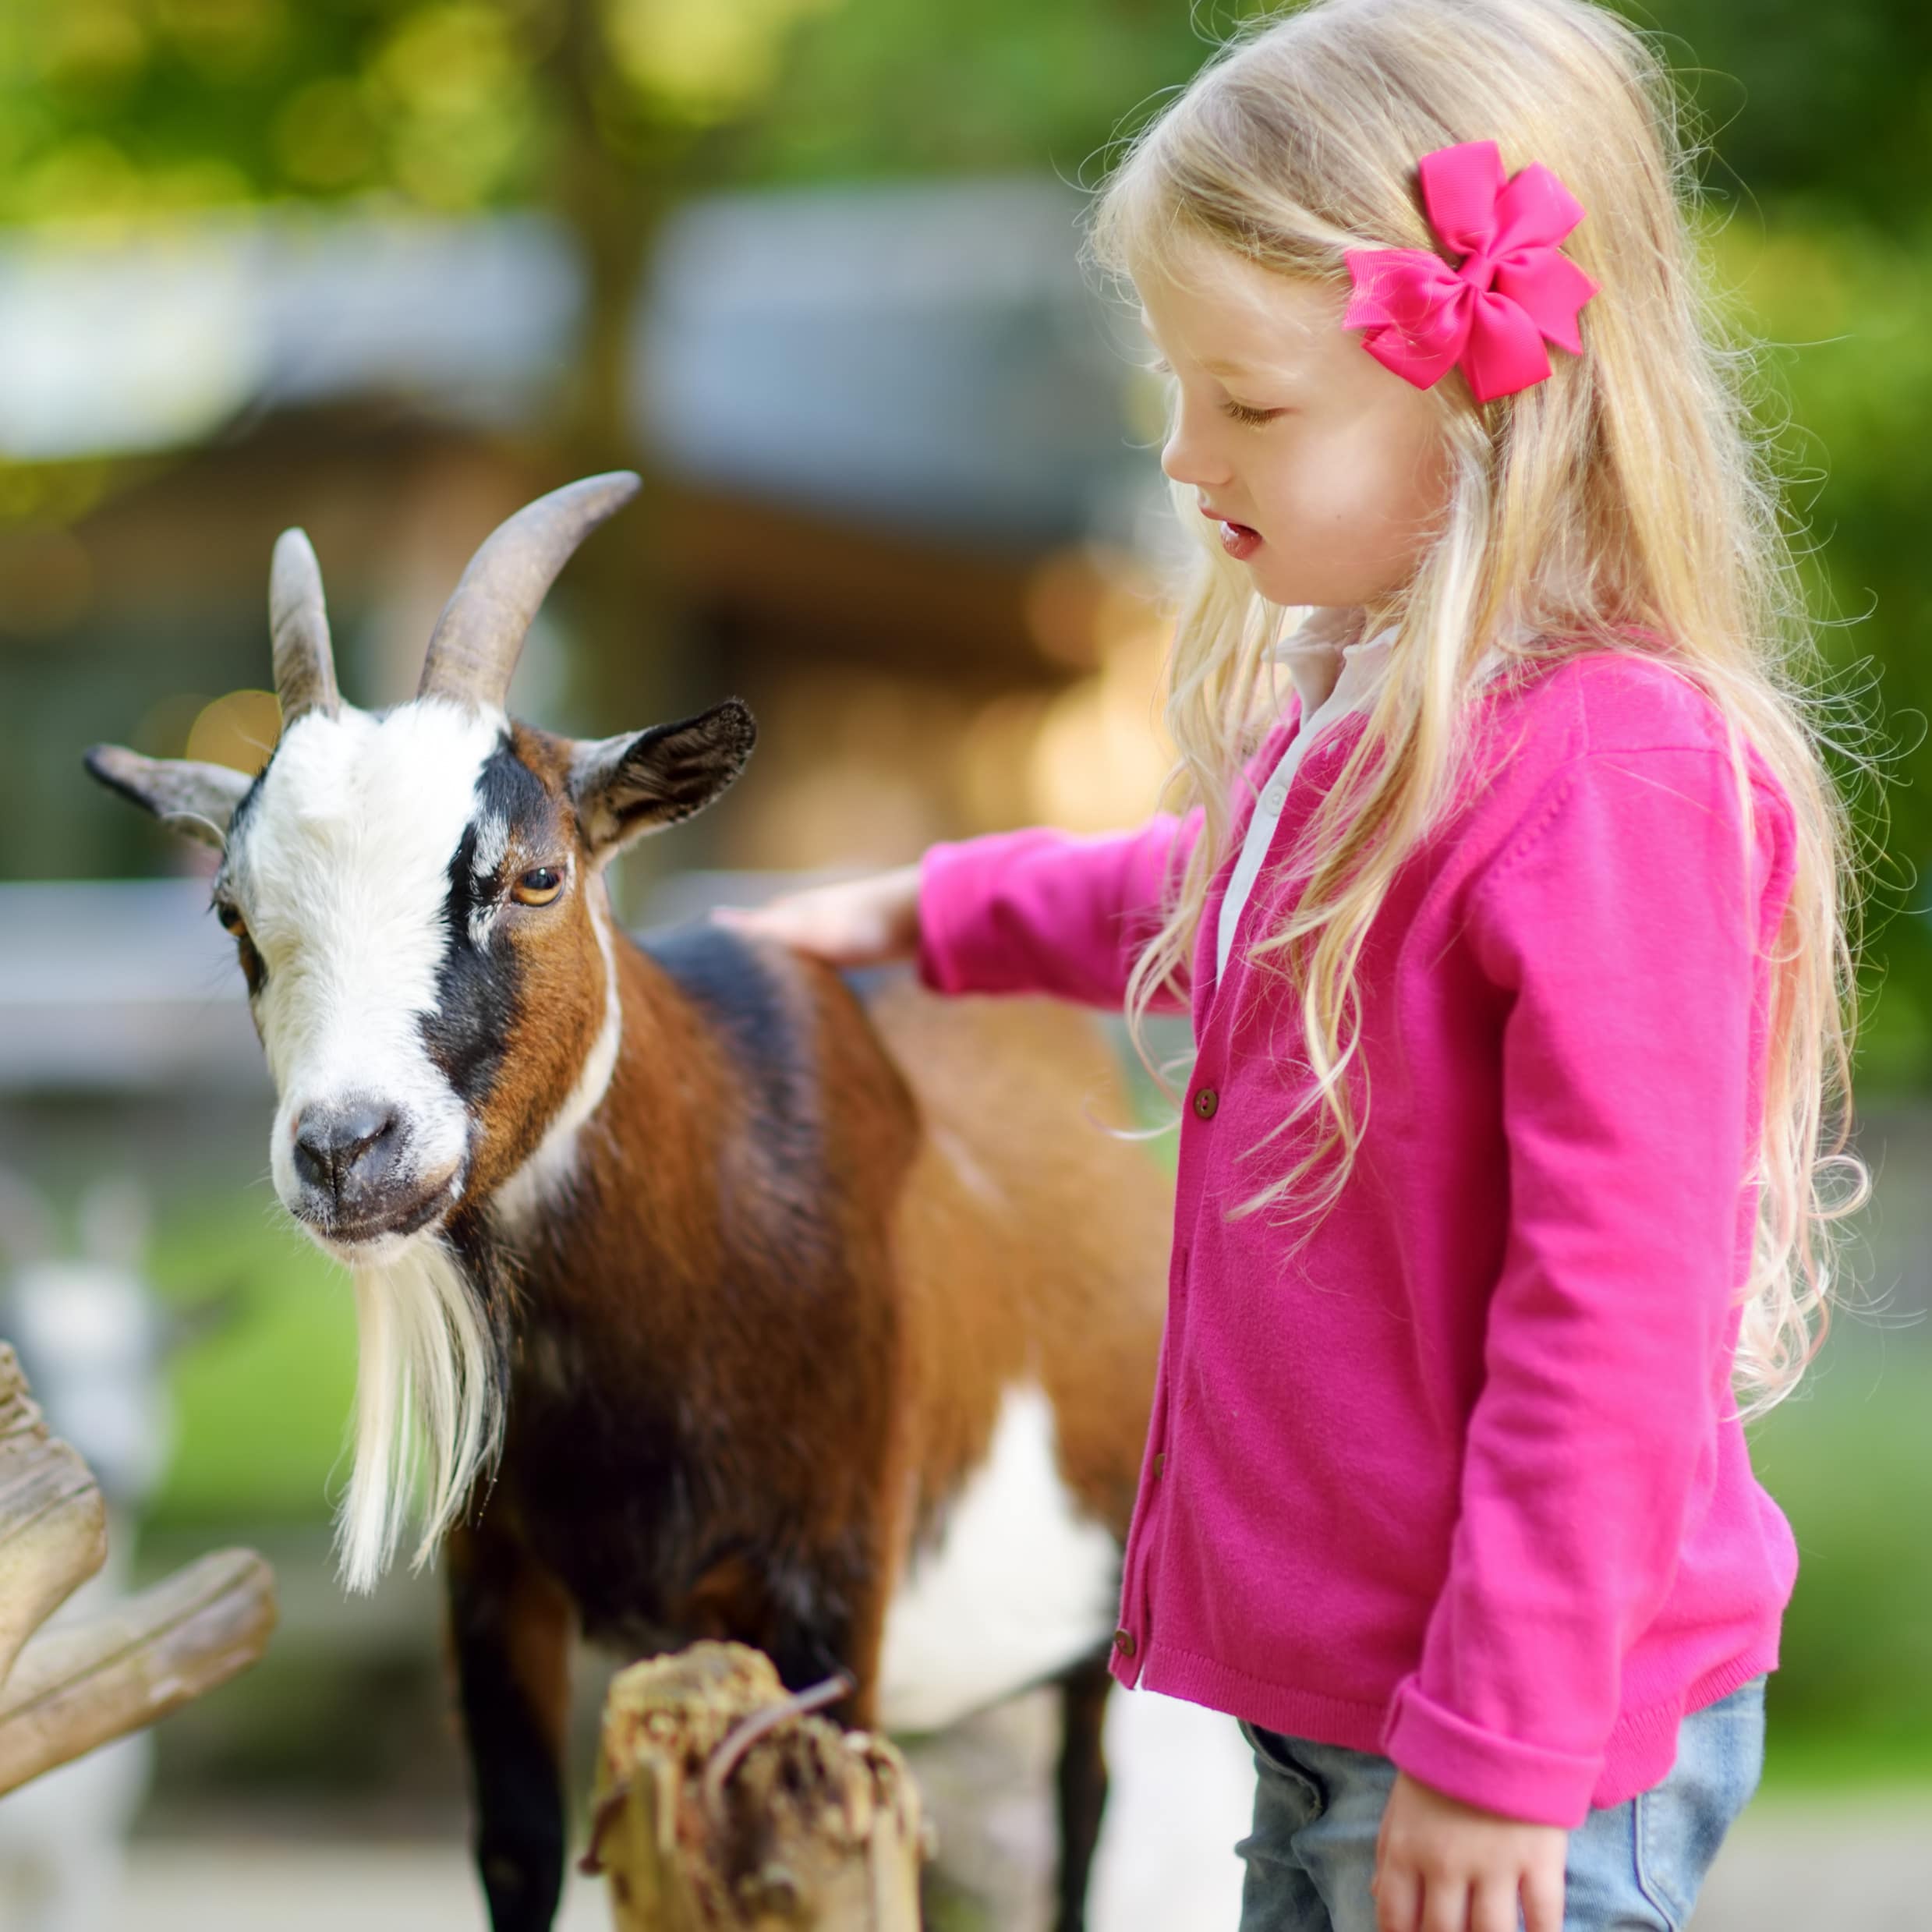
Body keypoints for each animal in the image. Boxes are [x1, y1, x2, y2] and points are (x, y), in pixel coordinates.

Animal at [87, 471, 1159, 1932]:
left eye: (537, 874)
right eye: (232, 914)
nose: (346, 1147)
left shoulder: (831, 1592)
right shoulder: (494, 1590)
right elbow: (518, 1851)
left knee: (1085, 1810)